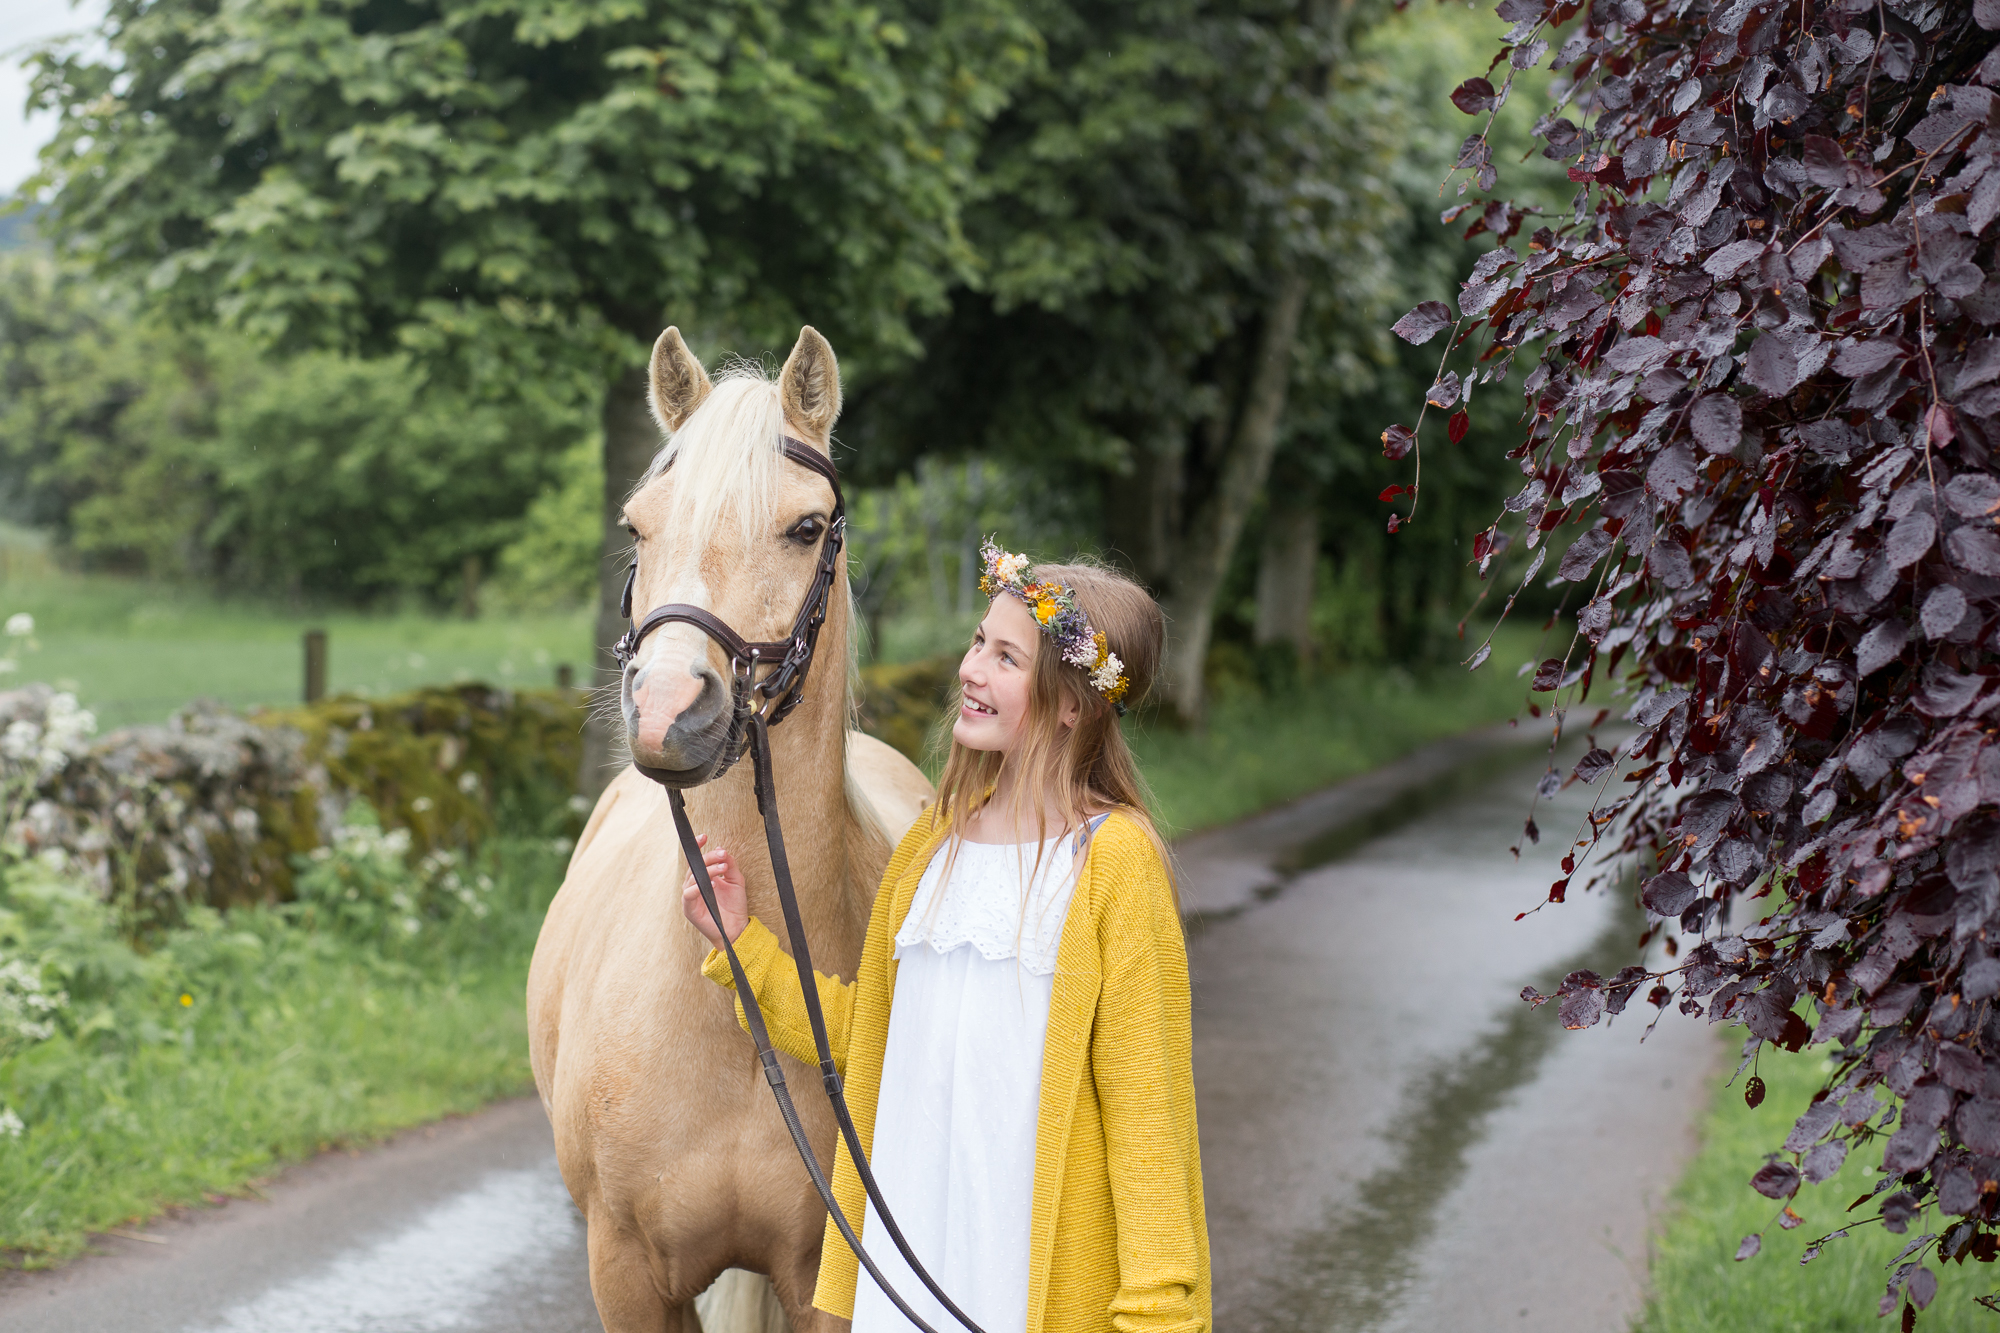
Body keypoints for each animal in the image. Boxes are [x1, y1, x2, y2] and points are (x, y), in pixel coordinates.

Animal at [532, 324, 936, 1328]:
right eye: (637, 526)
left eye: (805, 528)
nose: (668, 712)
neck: (732, 1011)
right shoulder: (626, 1270)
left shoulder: (830, 1276)